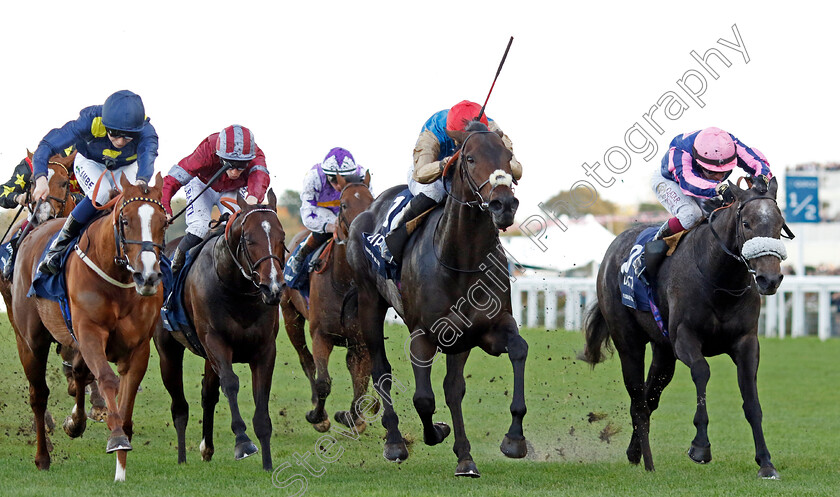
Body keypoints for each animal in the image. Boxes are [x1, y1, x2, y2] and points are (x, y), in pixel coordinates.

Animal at [9, 172, 167, 478]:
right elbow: (106, 379)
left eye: (163, 223)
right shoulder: (91, 333)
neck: (118, 279)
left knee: (80, 374)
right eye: (125, 220)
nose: (148, 276)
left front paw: (121, 466)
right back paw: (43, 456)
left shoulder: (138, 347)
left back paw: (75, 422)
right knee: (39, 395)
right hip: (30, 341)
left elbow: (125, 395)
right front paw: (116, 439)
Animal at [156, 189, 288, 468]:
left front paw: (268, 463)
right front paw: (243, 442)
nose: (273, 287)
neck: (237, 290)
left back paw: (207, 449)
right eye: (249, 239)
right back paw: (182, 458)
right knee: (179, 406)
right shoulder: (216, 342)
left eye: (281, 237)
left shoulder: (265, 350)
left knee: (208, 394)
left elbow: (261, 399)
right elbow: (230, 383)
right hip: (168, 351)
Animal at [280, 173, 376, 434]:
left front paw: (353, 417)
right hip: (290, 315)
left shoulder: (361, 340)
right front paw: (318, 417)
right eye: (343, 205)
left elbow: (361, 379)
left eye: (372, 202)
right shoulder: (321, 334)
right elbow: (323, 381)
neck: (344, 283)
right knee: (306, 361)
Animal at [346, 121, 524, 476]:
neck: (462, 262)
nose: (504, 204)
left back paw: (465, 457)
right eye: (469, 158)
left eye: (508, 156)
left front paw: (513, 440)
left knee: (453, 388)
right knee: (381, 371)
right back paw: (394, 442)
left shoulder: (486, 330)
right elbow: (423, 398)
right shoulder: (423, 336)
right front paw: (436, 432)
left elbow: (517, 350)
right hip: (369, 303)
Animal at [584, 176, 788, 478]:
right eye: (746, 223)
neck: (720, 280)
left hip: (663, 351)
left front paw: (765, 462)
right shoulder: (685, 338)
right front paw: (700, 446)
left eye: (779, 224)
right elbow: (702, 371)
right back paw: (648, 462)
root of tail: (614, 245)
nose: (769, 279)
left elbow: (751, 401)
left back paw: (634, 452)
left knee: (649, 398)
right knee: (638, 401)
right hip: (629, 342)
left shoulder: (747, 343)